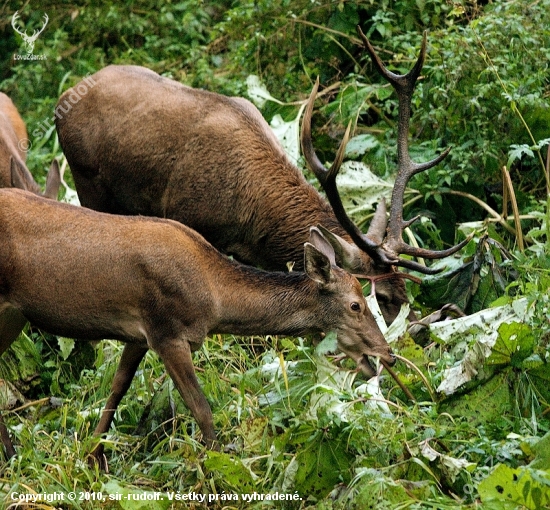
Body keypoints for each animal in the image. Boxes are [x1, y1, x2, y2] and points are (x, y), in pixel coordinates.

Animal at [1, 187, 396, 466]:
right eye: (356, 304)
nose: (387, 354)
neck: (213, 298)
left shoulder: (140, 334)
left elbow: (117, 388)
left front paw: (92, 457)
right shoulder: (168, 331)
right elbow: (202, 409)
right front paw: (217, 466)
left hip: (14, 315)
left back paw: (13, 454)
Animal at [55, 32, 470, 326]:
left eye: (406, 292)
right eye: (381, 298)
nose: (419, 335)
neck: (254, 221)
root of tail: (64, 97)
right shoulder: (186, 219)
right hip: (84, 179)